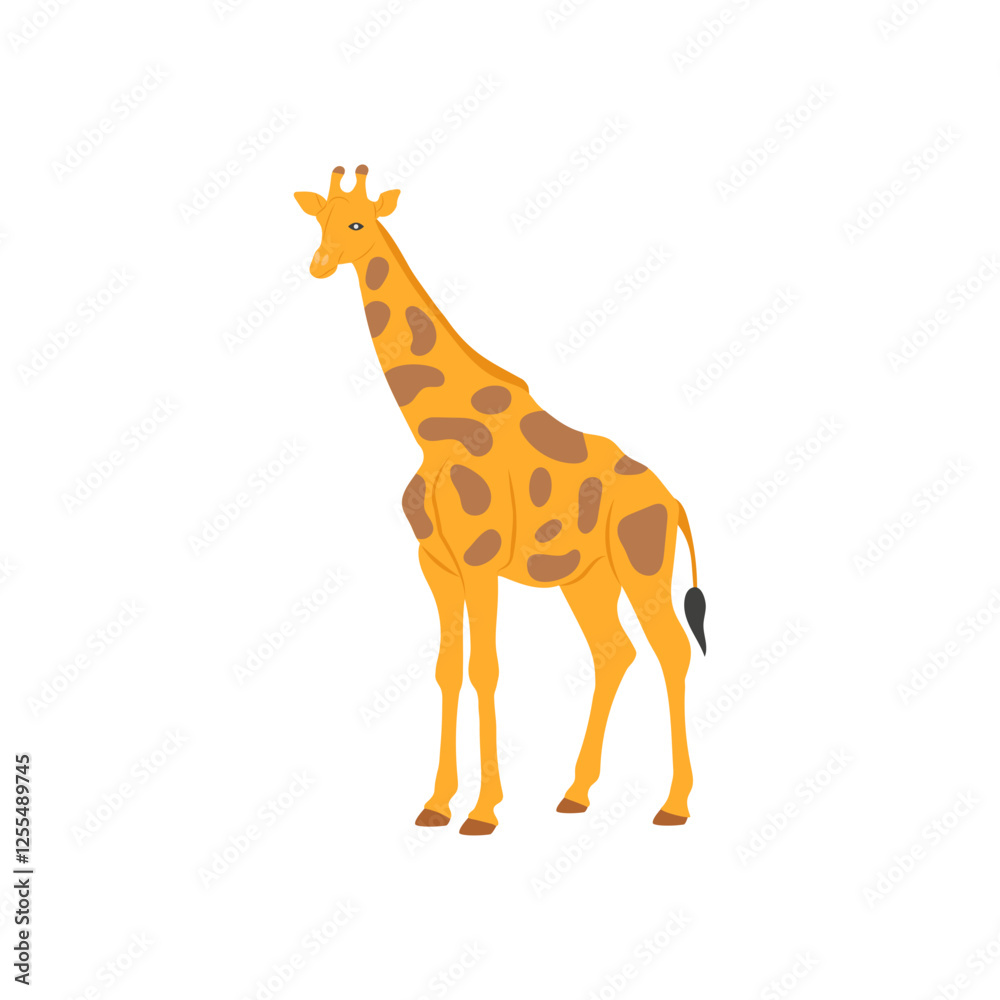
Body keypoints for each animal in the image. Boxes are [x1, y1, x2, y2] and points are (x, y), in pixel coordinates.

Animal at [295, 165, 707, 836]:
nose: (320, 264)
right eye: (320, 220)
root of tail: (673, 502)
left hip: (642, 564)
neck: (433, 430)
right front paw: (436, 804)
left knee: (670, 650)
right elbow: (446, 670)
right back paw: (576, 792)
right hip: (587, 578)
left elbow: (483, 667)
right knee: (614, 653)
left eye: (357, 222)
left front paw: (483, 812)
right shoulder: (435, 565)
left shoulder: (479, 560)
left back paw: (673, 805)